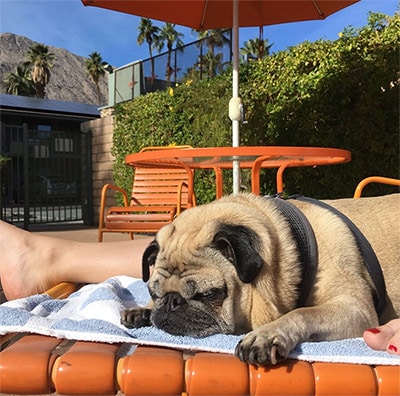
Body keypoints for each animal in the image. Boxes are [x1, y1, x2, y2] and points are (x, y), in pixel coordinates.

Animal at [122, 192, 400, 366]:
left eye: (209, 294)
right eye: (153, 293)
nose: (171, 302)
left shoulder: (356, 309)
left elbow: (302, 313)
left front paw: (267, 335)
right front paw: (144, 309)